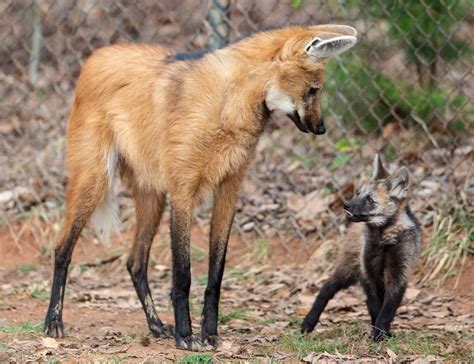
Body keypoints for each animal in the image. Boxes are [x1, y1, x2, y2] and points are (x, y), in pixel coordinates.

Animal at [44, 23, 358, 350]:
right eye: (313, 90)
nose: (321, 128)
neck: (229, 104)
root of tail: (95, 56)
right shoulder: (184, 190)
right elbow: (183, 274)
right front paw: (185, 336)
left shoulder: (228, 190)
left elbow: (216, 273)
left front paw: (209, 333)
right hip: (95, 181)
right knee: (62, 248)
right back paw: (53, 322)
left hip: (153, 195)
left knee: (135, 262)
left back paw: (156, 326)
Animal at [302, 156, 420, 342]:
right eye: (358, 193)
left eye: (370, 200)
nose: (346, 205)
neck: (382, 238)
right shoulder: (367, 272)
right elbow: (374, 305)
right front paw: (378, 333)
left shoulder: (399, 272)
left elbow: (387, 308)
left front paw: (381, 332)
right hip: (348, 270)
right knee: (327, 288)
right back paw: (309, 321)